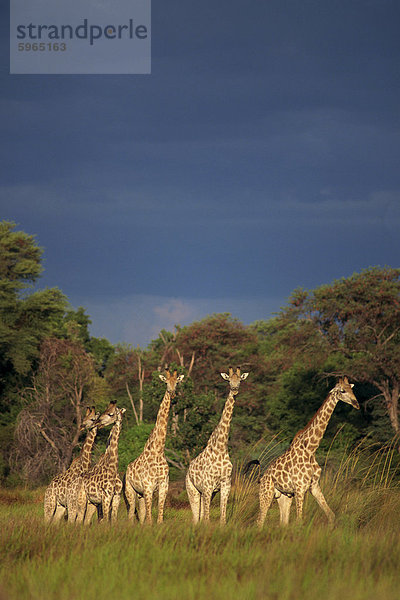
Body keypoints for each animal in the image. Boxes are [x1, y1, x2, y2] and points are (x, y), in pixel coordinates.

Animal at [123, 368, 184, 524]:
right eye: (166, 382)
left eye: (177, 383)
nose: (172, 393)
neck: (158, 450)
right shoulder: (148, 486)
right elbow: (150, 517)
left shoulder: (163, 485)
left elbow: (159, 515)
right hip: (130, 491)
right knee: (131, 513)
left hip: (140, 494)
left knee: (141, 514)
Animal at [186, 366, 248, 524]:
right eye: (229, 380)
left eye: (240, 380)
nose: (235, 389)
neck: (221, 447)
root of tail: (188, 469)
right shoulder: (208, 485)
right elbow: (207, 518)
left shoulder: (225, 484)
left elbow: (222, 516)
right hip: (193, 490)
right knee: (195, 517)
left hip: (206, 492)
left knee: (201, 515)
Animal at [258, 378, 360, 528]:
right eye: (342, 391)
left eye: (351, 389)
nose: (356, 404)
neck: (311, 449)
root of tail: (262, 478)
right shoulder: (300, 488)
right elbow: (299, 520)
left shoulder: (314, 486)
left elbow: (331, 515)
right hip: (266, 494)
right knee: (260, 521)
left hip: (284, 496)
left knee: (283, 522)